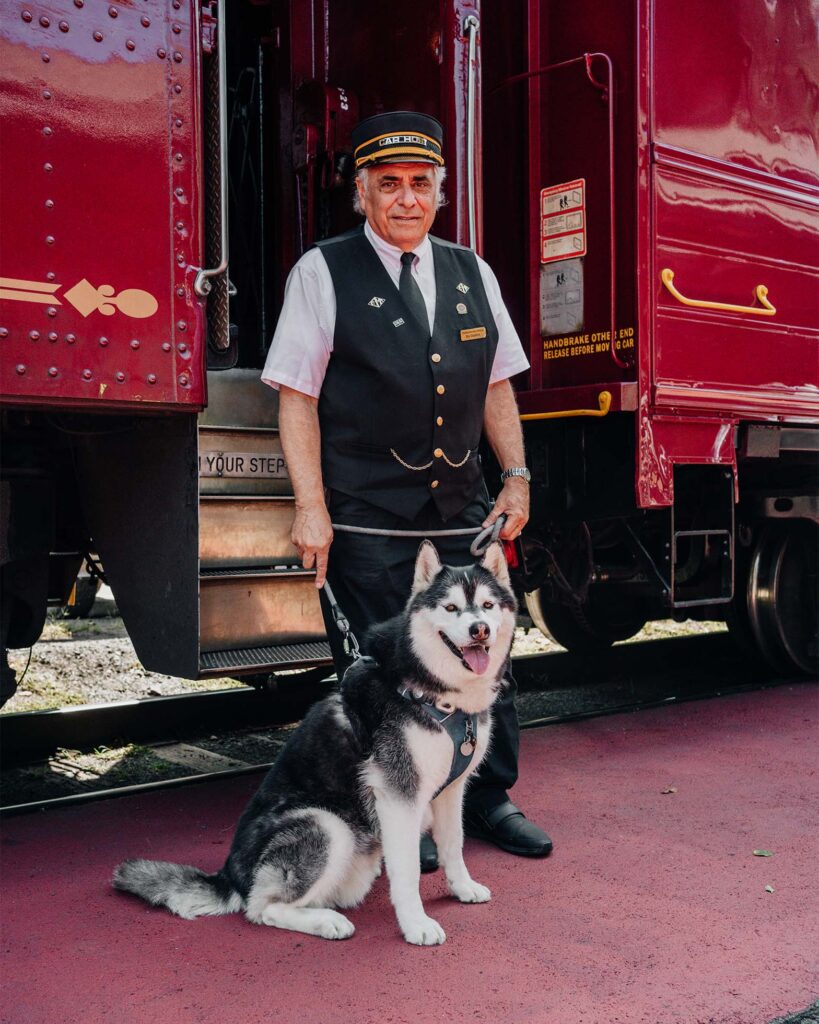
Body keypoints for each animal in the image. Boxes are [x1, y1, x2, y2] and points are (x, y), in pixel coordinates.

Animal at [112, 540, 515, 946]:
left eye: (487, 605)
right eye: (450, 608)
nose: (479, 630)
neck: (434, 693)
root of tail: (230, 875)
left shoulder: (452, 789)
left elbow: (454, 844)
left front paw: (462, 888)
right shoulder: (398, 796)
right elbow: (408, 872)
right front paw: (416, 924)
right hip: (327, 824)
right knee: (261, 908)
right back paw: (327, 922)